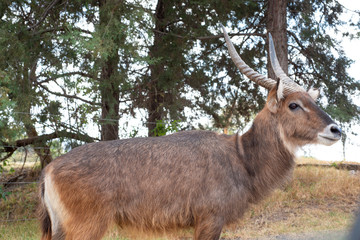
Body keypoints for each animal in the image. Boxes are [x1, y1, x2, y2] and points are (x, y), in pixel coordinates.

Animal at [38, 26, 342, 240]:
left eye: (312, 100)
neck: (241, 157)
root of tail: (49, 169)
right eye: (294, 104)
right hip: (86, 227)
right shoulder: (210, 219)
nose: (336, 129)